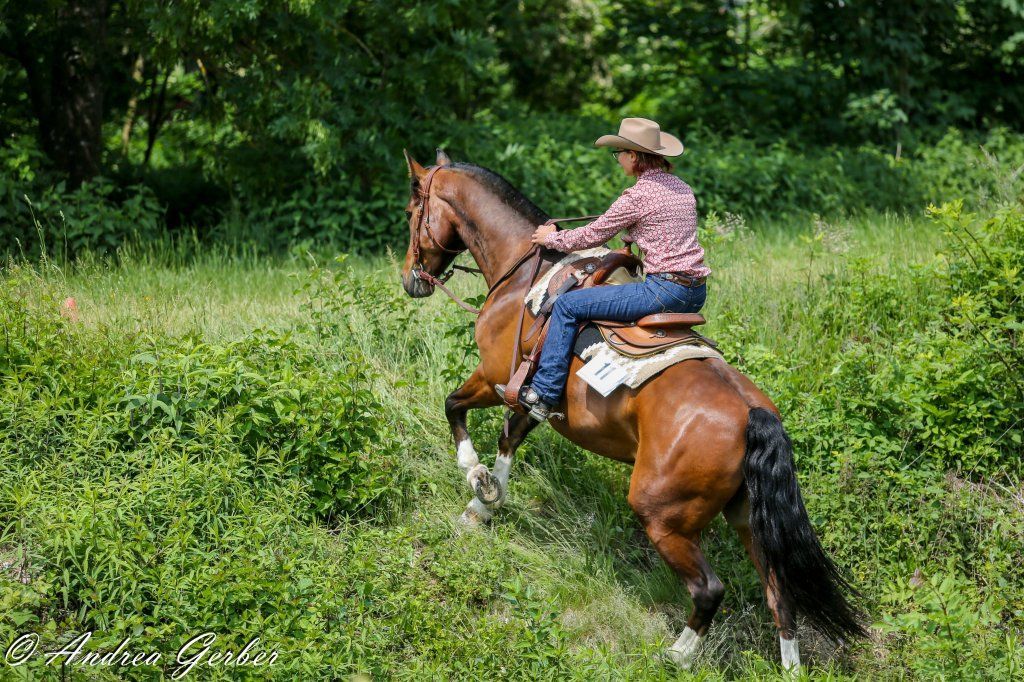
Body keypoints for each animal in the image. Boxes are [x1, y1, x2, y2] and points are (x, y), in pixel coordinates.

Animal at [399, 148, 865, 671]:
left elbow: (454, 408)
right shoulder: (528, 393)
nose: (411, 279)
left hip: (662, 515)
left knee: (709, 589)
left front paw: (474, 477)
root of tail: (753, 416)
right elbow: (509, 440)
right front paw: (484, 504)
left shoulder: (495, 378)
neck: (525, 276)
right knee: (779, 594)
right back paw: (788, 666)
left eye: (411, 212)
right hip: (749, 519)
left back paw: (677, 654)